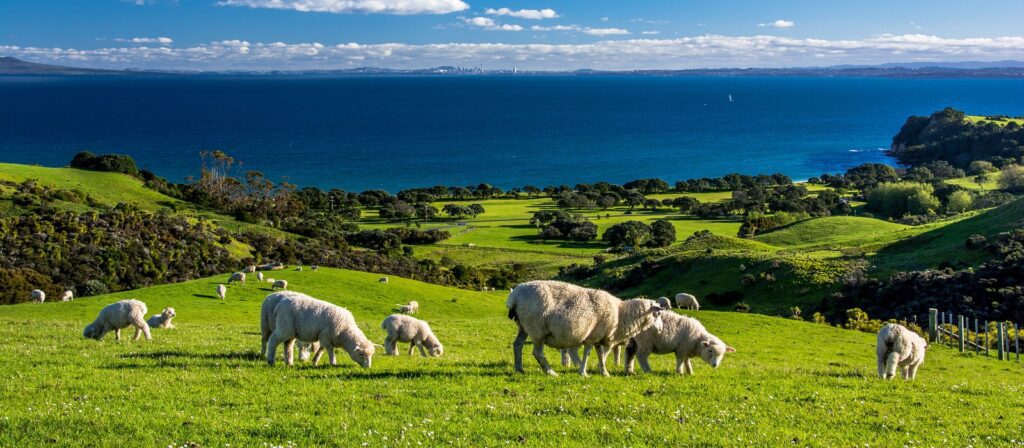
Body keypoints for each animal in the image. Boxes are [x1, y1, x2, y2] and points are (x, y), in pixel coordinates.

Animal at [507, 280, 666, 377]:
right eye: (657, 313)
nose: (660, 330)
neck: (620, 314)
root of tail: (514, 296)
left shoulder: (599, 337)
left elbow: (601, 355)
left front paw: (605, 373)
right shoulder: (592, 336)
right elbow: (588, 354)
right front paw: (583, 372)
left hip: (523, 326)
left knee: (517, 345)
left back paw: (519, 368)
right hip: (537, 329)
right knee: (537, 352)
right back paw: (551, 372)